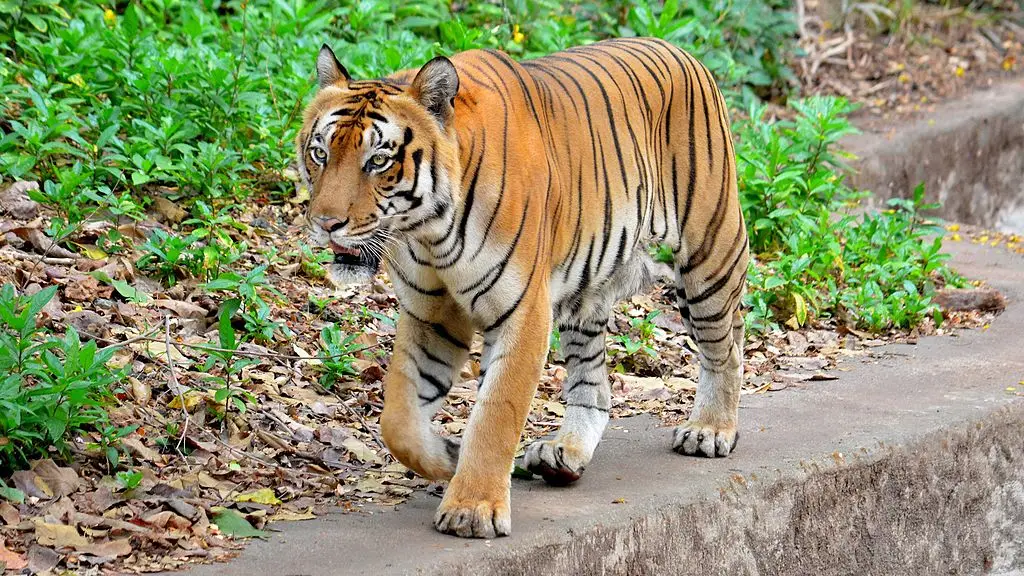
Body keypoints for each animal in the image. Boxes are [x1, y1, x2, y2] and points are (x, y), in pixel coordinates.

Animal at [292, 36, 749, 537]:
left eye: (378, 160)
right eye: (321, 153)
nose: (325, 224)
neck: (428, 232)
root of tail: (682, 50)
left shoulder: (523, 311)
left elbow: (496, 412)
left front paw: (472, 509)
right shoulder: (432, 314)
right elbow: (398, 419)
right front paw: (448, 458)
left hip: (710, 257)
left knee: (724, 348)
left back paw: (710, 430)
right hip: (585, 293)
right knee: (593, 384)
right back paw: (564, 453)